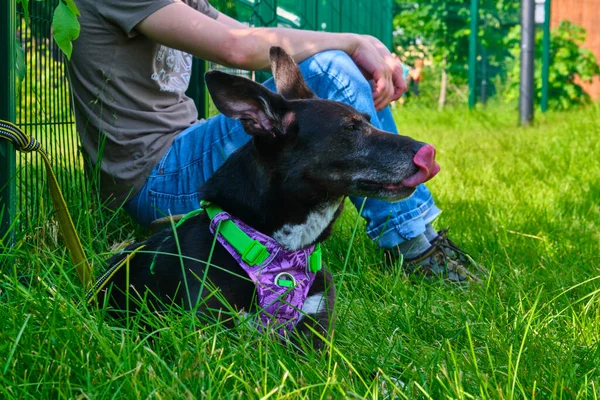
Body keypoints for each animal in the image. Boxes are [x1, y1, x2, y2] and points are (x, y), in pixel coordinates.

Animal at [95, 46, 440, 346]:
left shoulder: (316, 329)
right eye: (350, 129)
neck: (282, 249)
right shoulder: (207, 331)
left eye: (368, 120)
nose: (429, 151)